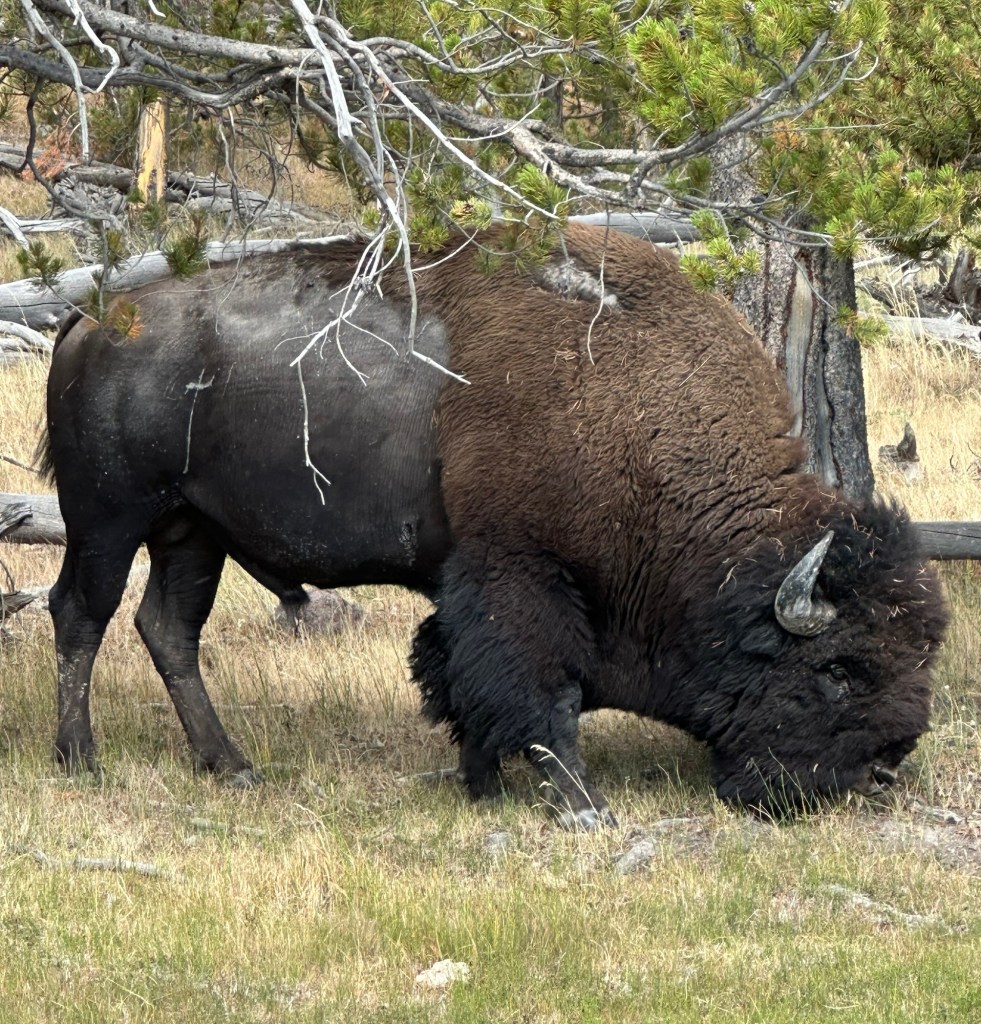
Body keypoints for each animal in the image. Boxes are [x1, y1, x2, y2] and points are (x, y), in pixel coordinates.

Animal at [43, 224, 948, 825]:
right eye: (838, 669)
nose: (885, 767)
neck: (633, 414)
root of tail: (92, 317)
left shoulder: (468, 582)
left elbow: (460, 676)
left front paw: (483, 784)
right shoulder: (521, 572)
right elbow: (540, 688)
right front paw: (581, 807)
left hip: (192, 532)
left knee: (168, 629)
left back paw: (230, 766)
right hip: (109, 520)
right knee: (81, 616)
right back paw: (81, 760)